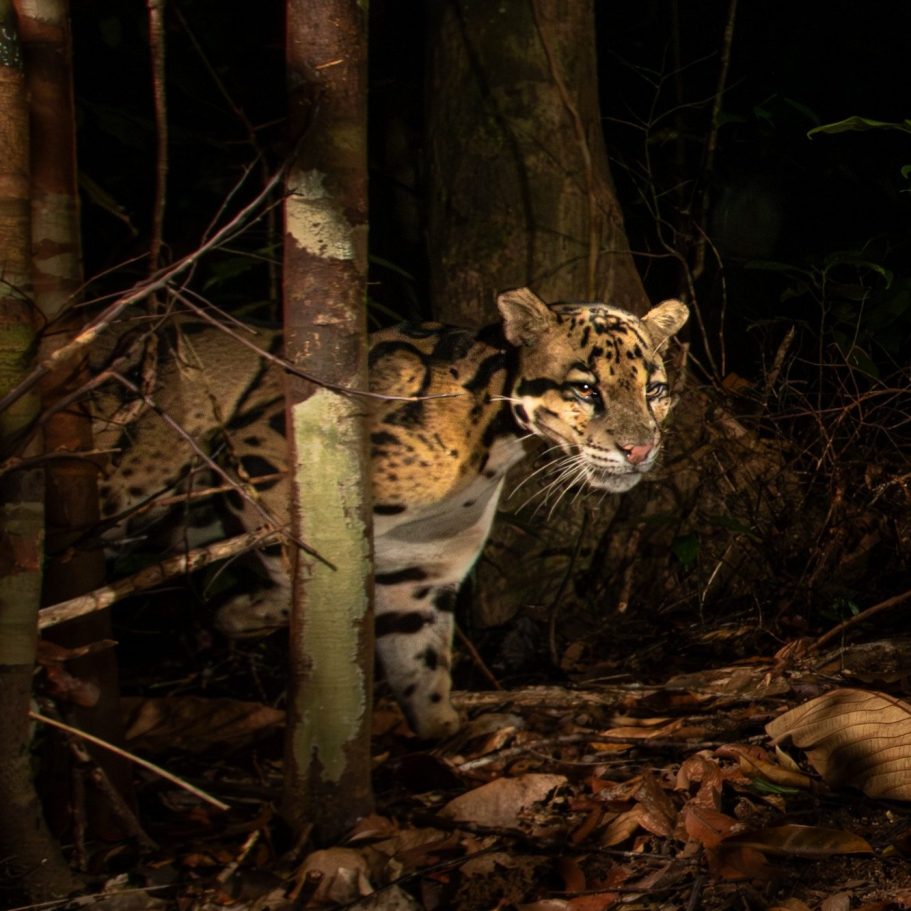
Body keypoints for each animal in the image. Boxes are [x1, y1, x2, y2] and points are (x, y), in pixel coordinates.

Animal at [94, 287, 688, 738]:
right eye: (585, 389)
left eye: (655, 389)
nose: (640, 449)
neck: (492, 440)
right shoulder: (267, 452)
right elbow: (301, 579)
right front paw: (241, 615)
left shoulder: (422, 569)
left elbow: (421, 659)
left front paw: (443, 732)